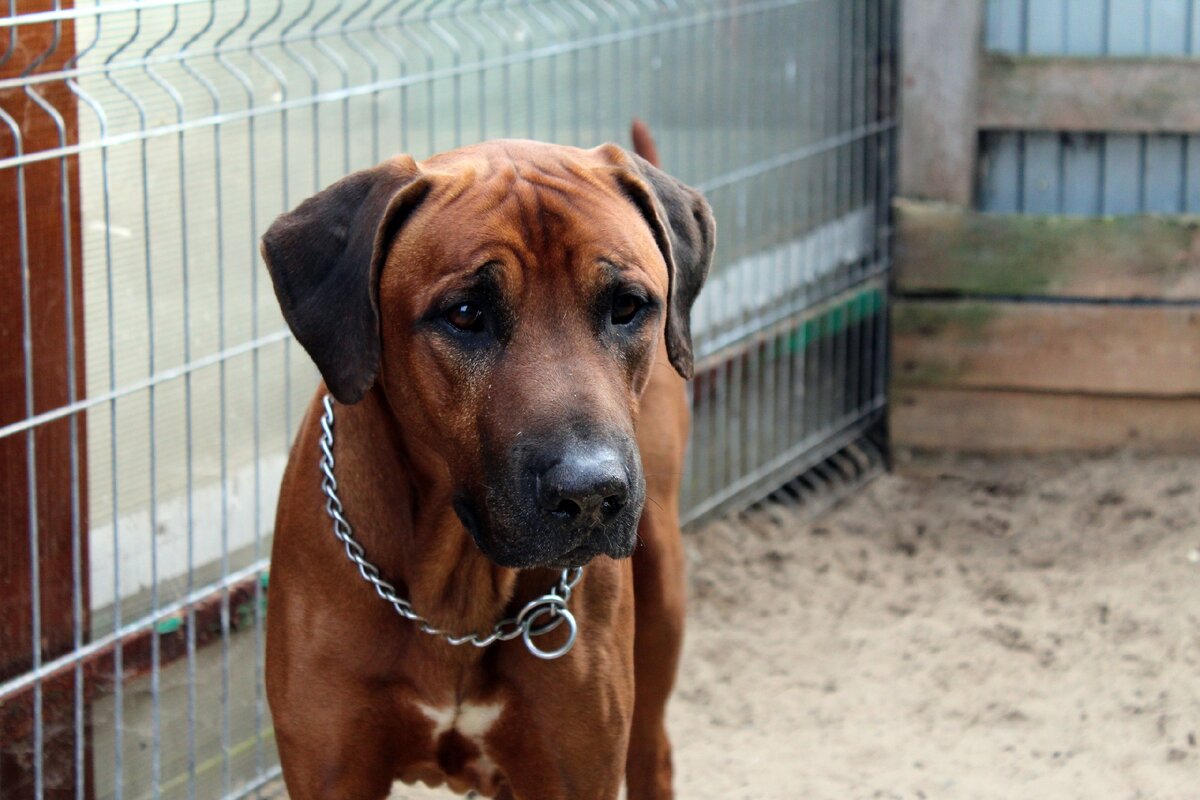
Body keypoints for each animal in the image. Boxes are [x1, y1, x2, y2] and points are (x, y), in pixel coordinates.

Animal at [262, 120, 710, 800]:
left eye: (628, 305)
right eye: (466, 313)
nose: (591, 493)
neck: (454, 595)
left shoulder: (573, 769)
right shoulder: (331, 769)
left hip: (659, 579)